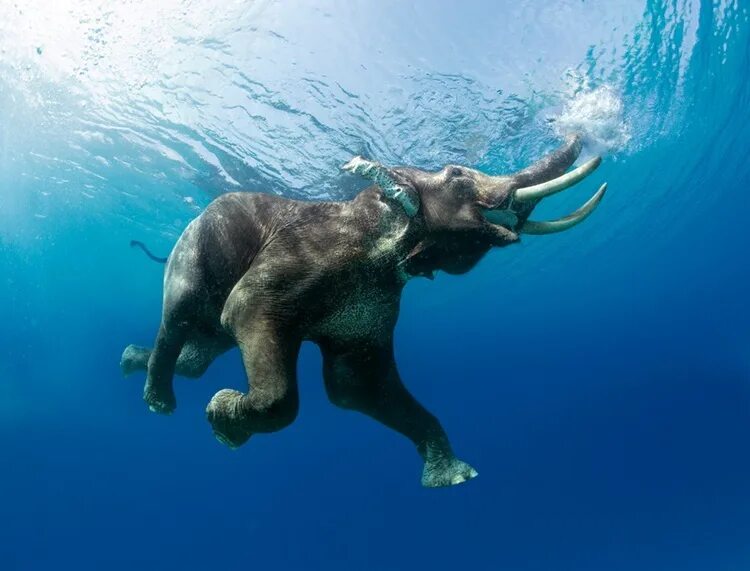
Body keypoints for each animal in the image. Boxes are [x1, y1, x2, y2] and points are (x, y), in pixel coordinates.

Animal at [120, 133, 608, 488]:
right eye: (457, 175)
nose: (581, 133)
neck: (375, 213)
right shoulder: (296, 263)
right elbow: (251, 327)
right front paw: (221, 419)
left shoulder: (374, 306)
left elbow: (356, 385)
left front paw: (454, 478)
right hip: (191, 253)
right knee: (178, 318)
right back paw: (159, 403)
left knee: (197, 358)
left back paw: (129, 360)